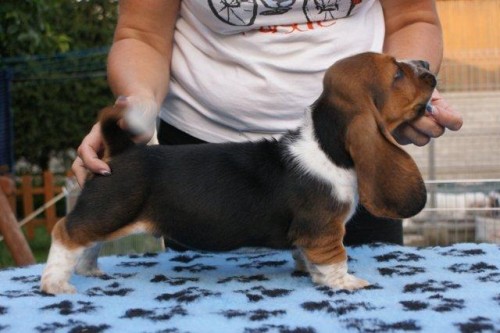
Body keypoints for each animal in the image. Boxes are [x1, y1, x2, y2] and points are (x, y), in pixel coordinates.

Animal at [41, 51, 436, 294]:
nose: (426, 63)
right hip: (109, 210)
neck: (326, 145)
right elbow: (334, 258)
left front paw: (311, 274)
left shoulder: (309, 236)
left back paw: (89, 271)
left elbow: (309, 258)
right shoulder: (324, 229)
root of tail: (121, 149)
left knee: (89, 243)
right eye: (397, 74)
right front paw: (346, 283)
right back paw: (55, 284)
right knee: (66, 233)